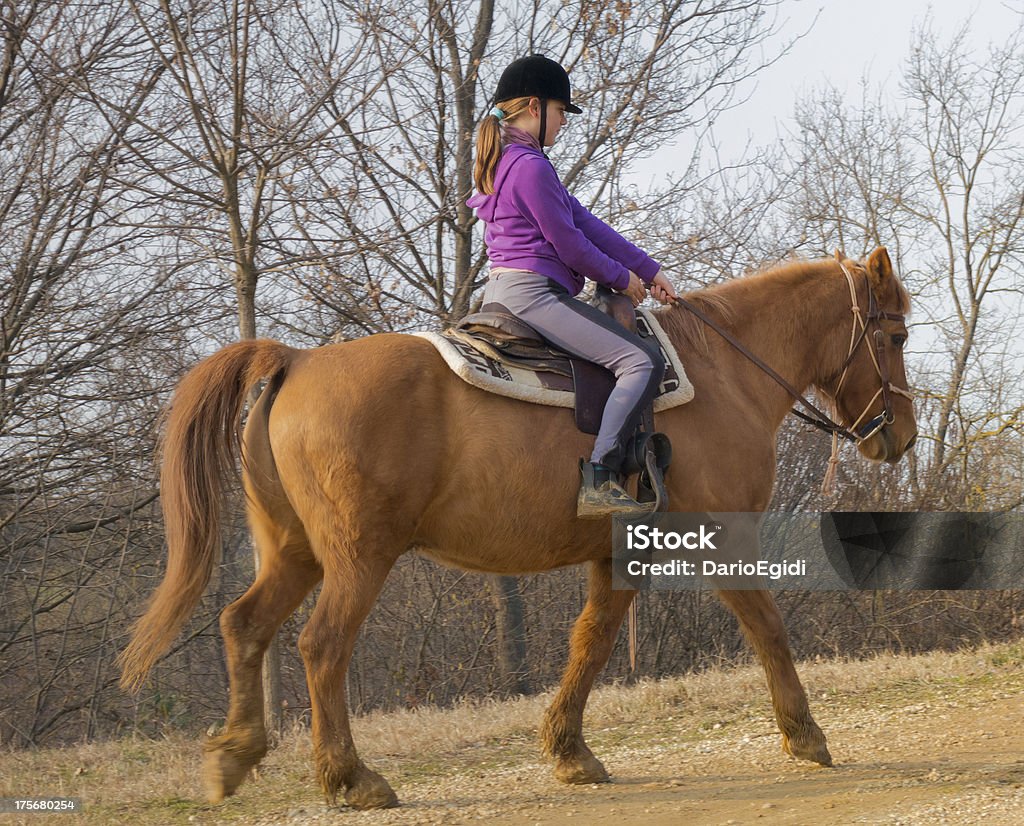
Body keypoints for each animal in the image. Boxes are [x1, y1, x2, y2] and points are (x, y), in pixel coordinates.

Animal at [117, 243, 913, 806]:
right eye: (897, 335)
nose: (899, 436)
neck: (721, 370)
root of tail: (296, 361)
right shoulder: (722, 534)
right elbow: (767, 626)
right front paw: (805, 734)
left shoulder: (623, 551)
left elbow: (592, 641)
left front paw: (569, 750)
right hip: (357, 557)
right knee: (321, 647)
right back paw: (350, 776)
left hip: (294, 552)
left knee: (245, 626)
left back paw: (235, 754)